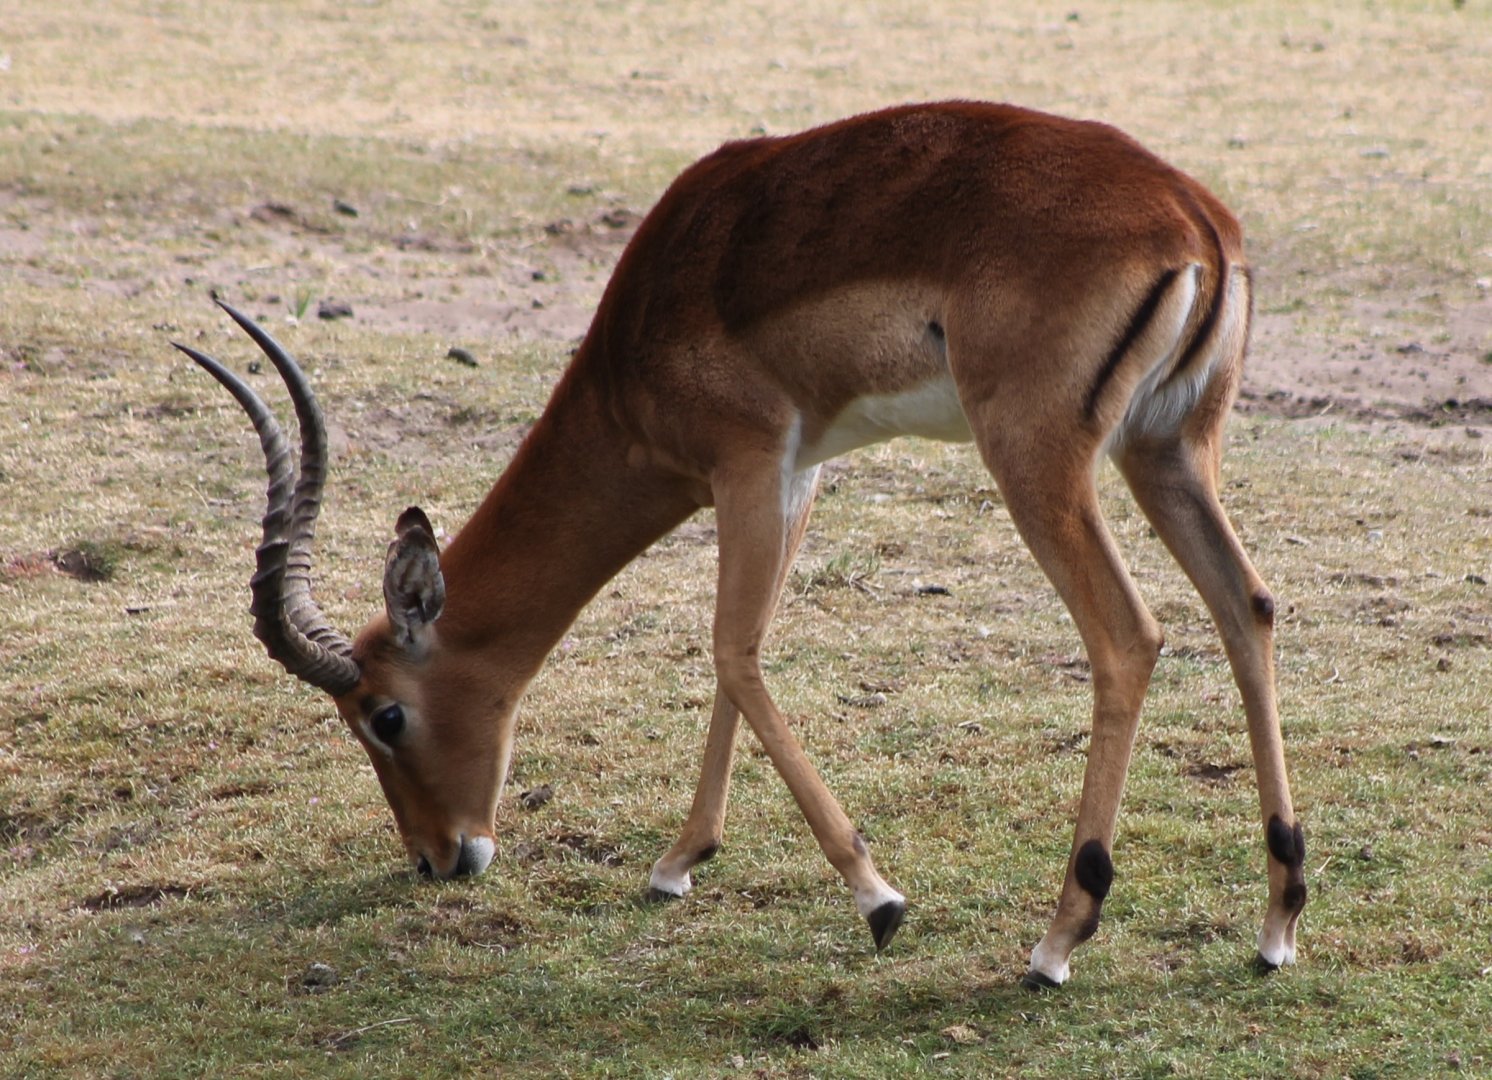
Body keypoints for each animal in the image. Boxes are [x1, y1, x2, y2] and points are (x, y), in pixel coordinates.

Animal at [180, 101, 1306, 988]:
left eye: (383, 717)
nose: (439, 857)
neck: (643, 324)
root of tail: (1195, 219)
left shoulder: (747, 461)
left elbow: (730, 650)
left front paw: (879, 900)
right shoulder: (794, 469)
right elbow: (739, 650)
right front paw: (679, 864)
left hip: (1038, 460)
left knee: (1128, 636)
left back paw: (1057, 942)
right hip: (1168, 451)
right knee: (1245, 605)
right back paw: (1276, 922)